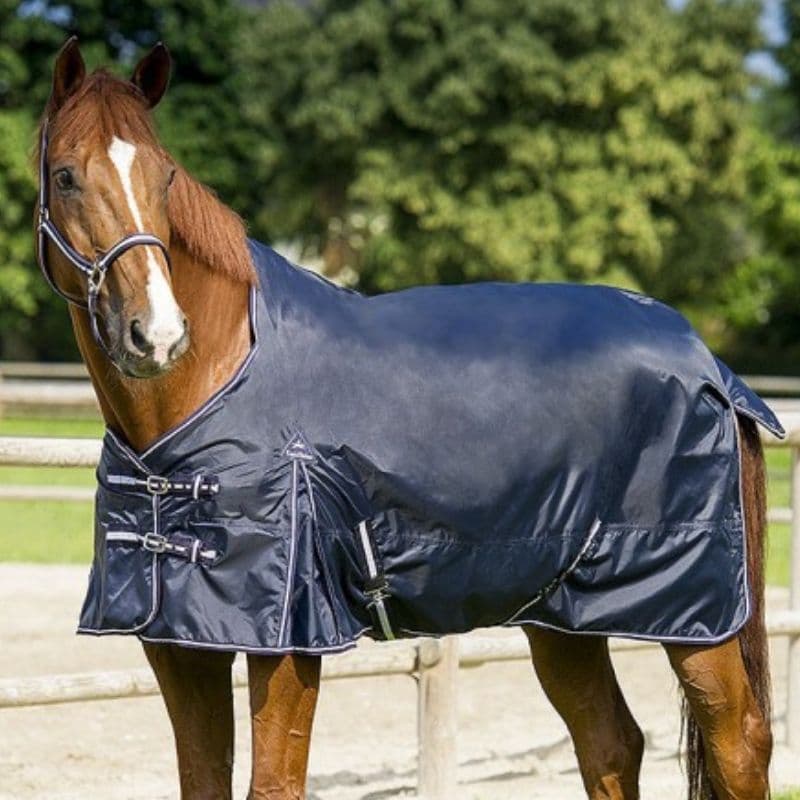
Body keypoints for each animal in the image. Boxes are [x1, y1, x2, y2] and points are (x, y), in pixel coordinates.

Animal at [34, 38, 773, 800]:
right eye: (65, 177)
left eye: (166, 178)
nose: (156, 334)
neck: (216, 384)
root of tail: (707, 360)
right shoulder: (179, 644)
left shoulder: (290, 641)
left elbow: (275, 783)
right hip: (560, 613)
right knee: (610, 742)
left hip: (699, 615)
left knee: (739, 745)